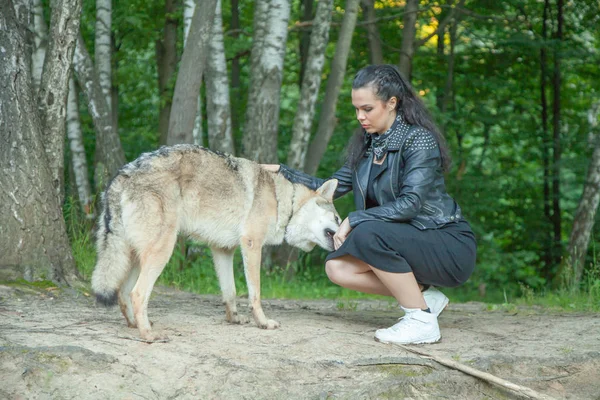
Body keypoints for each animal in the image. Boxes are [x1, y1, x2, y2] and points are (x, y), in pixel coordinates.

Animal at [91, 145, 340, 342]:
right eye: (337, 219)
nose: (343, 235)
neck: (283, 202)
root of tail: (124, 174)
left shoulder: (222, 250)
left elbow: (230, 291)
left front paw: (234, 319)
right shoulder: (252, 245)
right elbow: (255, 293)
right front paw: (263, 322)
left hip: (135, 256)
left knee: (123, 293)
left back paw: (136, 326)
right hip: (161, 251)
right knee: (137, 293)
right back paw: (149, 334)